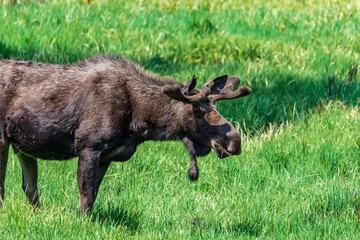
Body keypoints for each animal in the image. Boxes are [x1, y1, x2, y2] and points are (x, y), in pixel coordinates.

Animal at [0, 55, 252, 212]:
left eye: (216, 107)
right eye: (198, 111)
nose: (235, 141)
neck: (141, 121)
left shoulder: (107, 156)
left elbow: (92, 196)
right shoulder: (89, 147)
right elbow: (84, 199)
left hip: (23, 146)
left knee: (30, 188)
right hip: (3, 139)